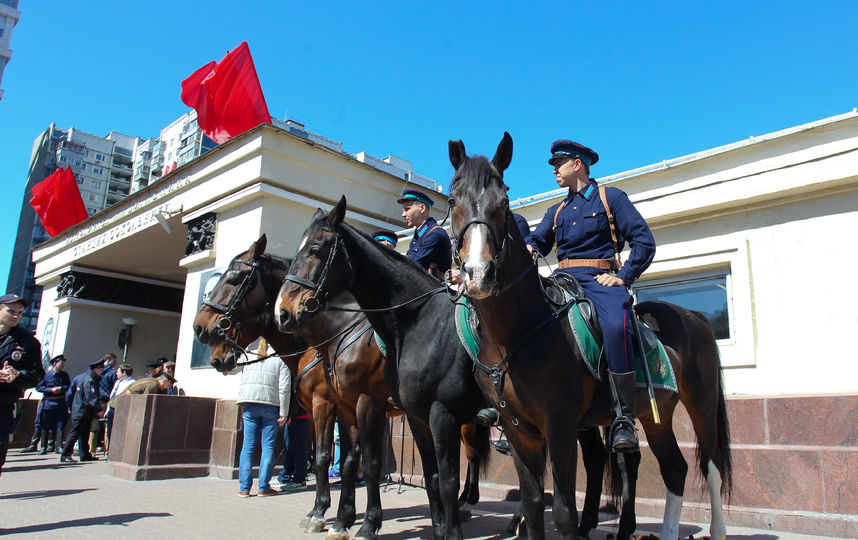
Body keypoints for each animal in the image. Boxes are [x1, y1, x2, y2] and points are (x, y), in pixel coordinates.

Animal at [274, 204, 488, 540]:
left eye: (315, 249)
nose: (282, 312)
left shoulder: (371, 404)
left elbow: (374, 463)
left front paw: (363, 523)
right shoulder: (369, 409)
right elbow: (360, 463)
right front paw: (341, 519)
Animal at [444, 132, 732, 540]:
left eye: (503, 202)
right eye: (453, 200)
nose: (477, 274)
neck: (519, 331)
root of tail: (694, 317)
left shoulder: (560, 427)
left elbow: (565, 512)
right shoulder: (519, 431)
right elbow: (533, 505)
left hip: (701, 405)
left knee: (710, 466)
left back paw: (717, 529)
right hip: (656, 414)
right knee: (674, 468)